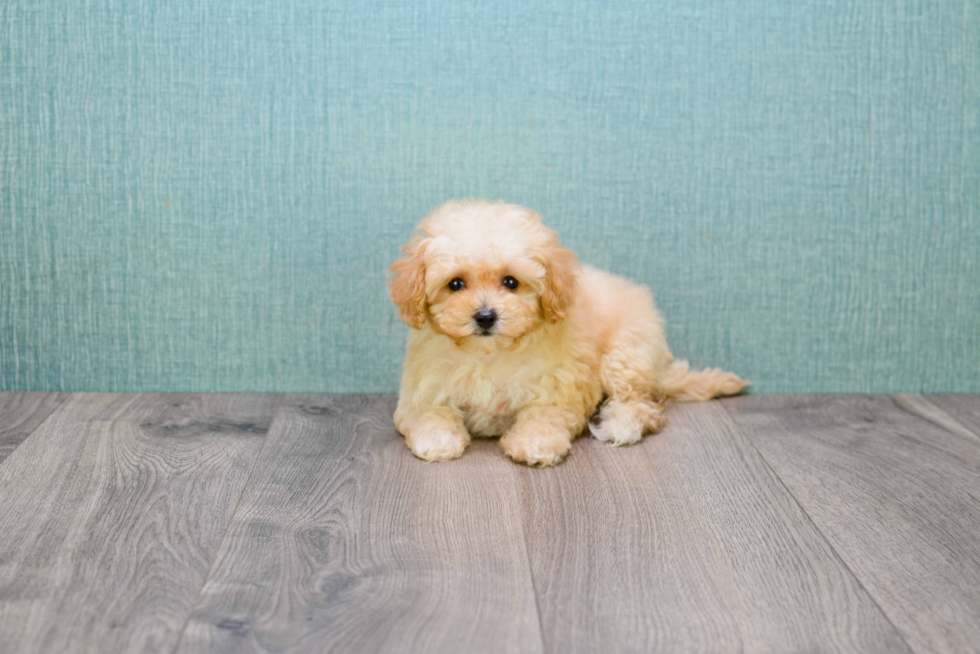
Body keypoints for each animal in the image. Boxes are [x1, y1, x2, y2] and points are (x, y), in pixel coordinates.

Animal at [386, 200, 748, 466]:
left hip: (626, 352)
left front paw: (535, 443)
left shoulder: (557, 386)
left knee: (639, 401)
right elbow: (429, 413)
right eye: (456, 284)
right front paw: (437, 439)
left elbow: (544, 414)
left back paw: (621, 424)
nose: (485, 316)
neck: (489, 353)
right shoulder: (424, 388)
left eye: (511, 282)